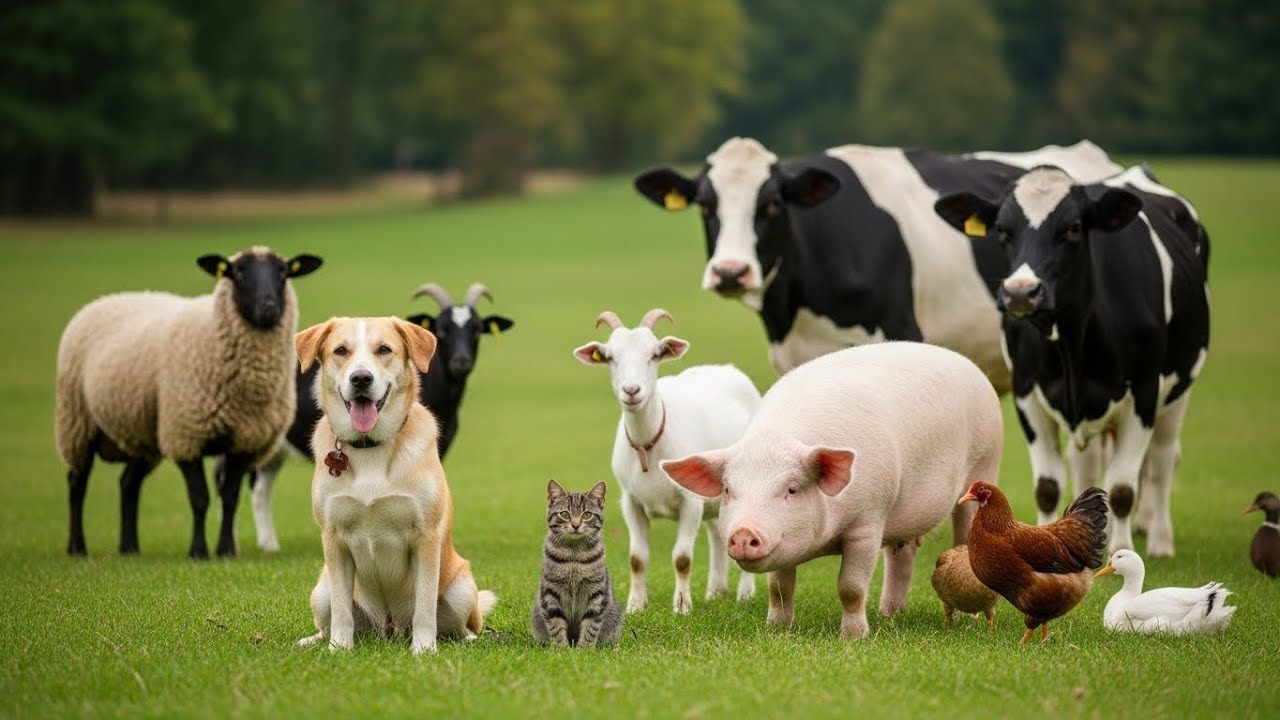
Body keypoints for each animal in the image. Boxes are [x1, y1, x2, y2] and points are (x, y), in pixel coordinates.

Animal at [933, 165, 1210, 557]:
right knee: (1086, 466)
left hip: (1177, 392)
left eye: (1073, 228)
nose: (1021, 292)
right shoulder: (1027, 393)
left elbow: (1123, 488)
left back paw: (1160, 541)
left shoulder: (1143, 393)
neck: (1072, 347)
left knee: (1162, 460)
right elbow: (1048, 486)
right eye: (1002, 230)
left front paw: (1120, 548)